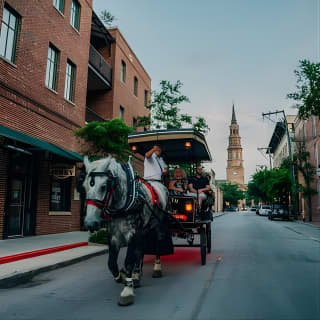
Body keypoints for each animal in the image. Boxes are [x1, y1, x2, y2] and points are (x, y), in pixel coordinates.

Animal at [82, 156, 172, 306]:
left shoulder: (133, 234)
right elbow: (111, 263)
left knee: (158, 246)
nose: (90, 223)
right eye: (85, 186)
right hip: (144, 229)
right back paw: (137, 274)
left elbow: (128, 260)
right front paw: (122, 277)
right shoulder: (113, 235)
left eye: (104, 186)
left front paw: (127, 290)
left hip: (158, 225)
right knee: (141, 249)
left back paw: (156, 269)